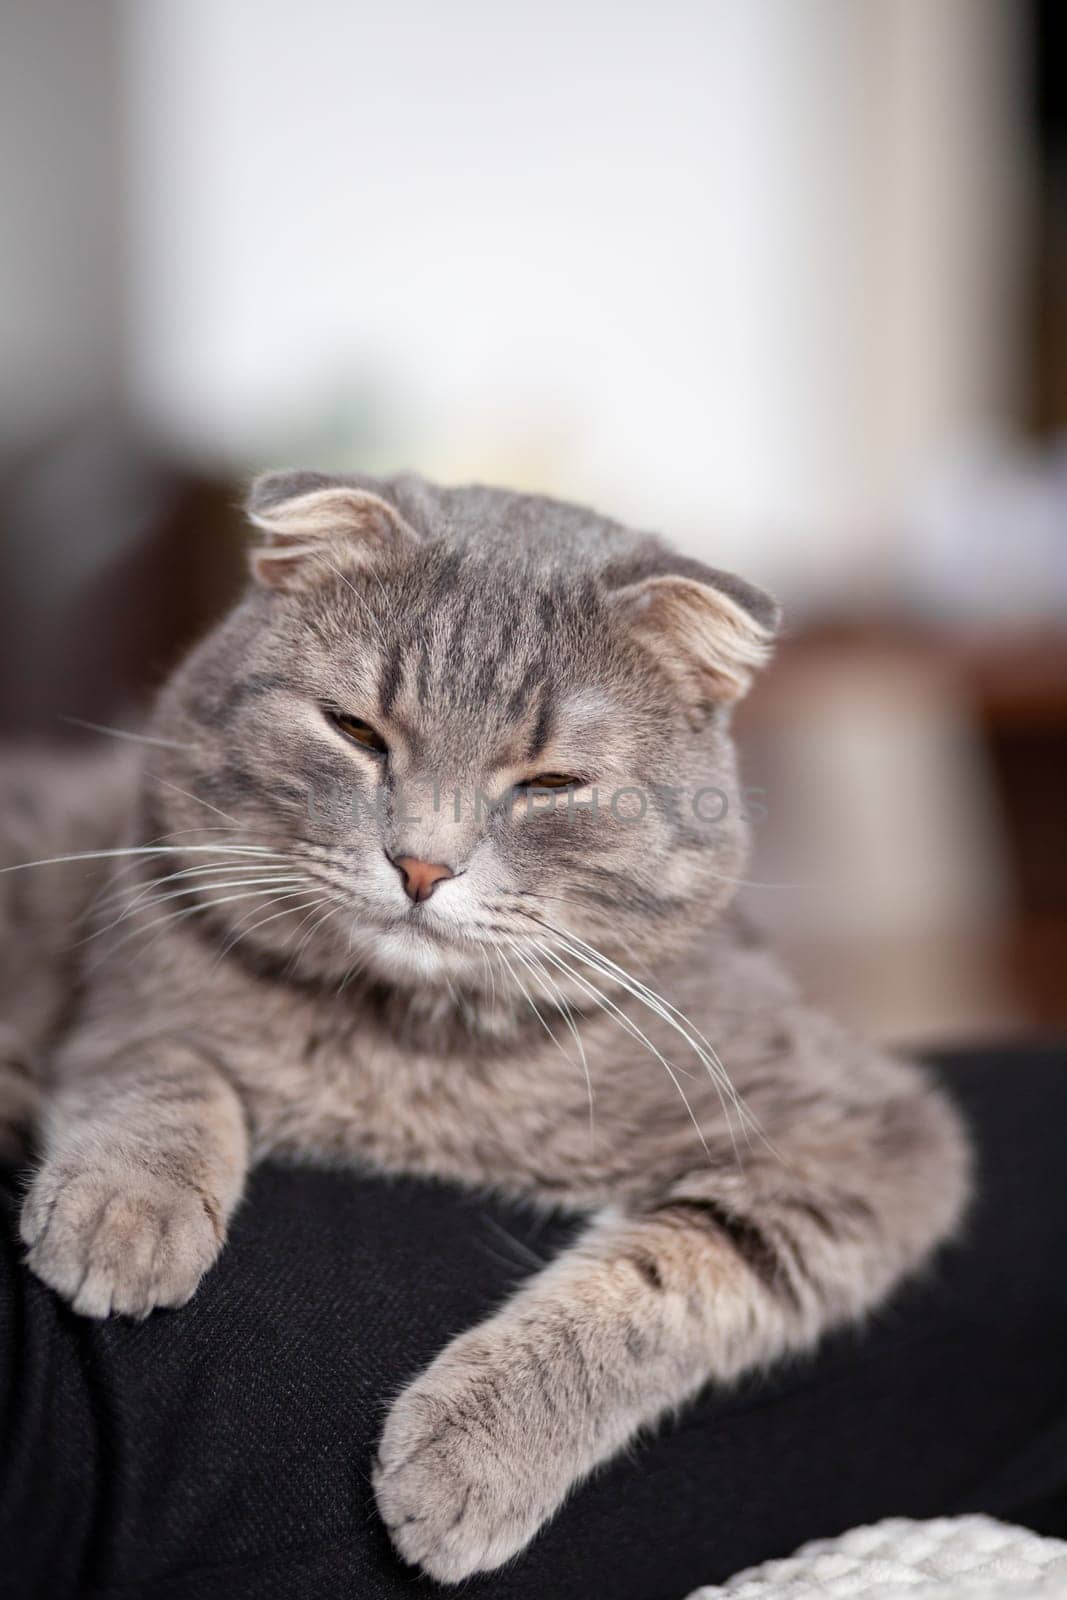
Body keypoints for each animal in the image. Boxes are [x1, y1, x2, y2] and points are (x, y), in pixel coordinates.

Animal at [0, 467, 972, 1580]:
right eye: (356, 731)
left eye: (550, 784)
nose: (421, 864)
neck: (408, 1051)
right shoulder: (123, 992)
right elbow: (163, 1067)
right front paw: (128, 1205)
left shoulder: (867, 1133)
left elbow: (660, 1278)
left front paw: (478, 1450)